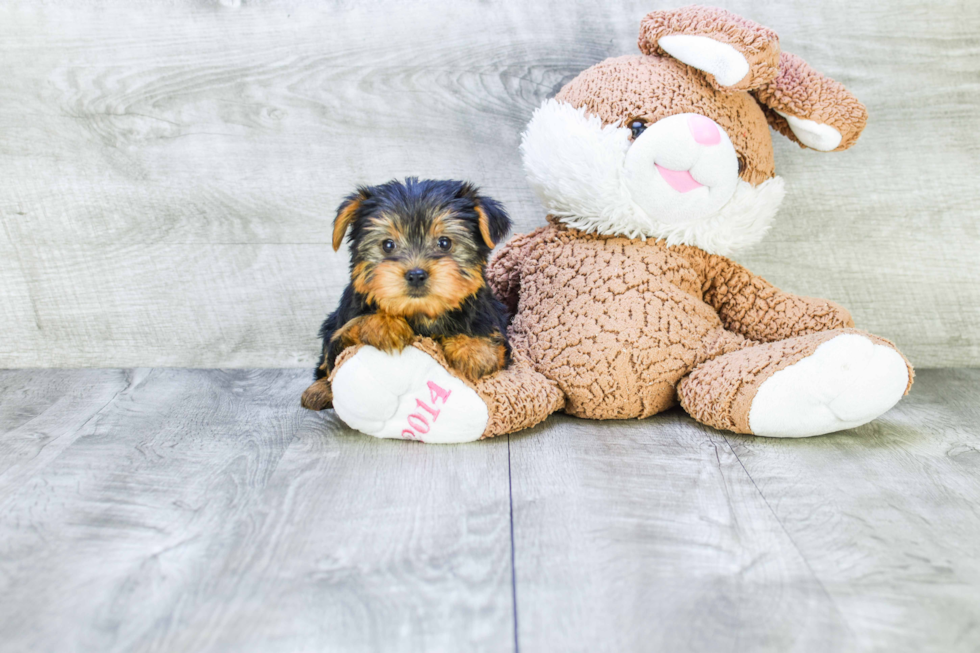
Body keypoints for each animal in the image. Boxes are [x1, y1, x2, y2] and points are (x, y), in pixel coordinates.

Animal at [300, 173, 512, 408]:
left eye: (444, 243)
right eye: (388, 245)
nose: (416, 274)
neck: (420, 312)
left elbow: (491, 339)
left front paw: (474, 349)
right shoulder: (339, 336)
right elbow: (347, 334)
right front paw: (384, 324)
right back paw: (318, 390)